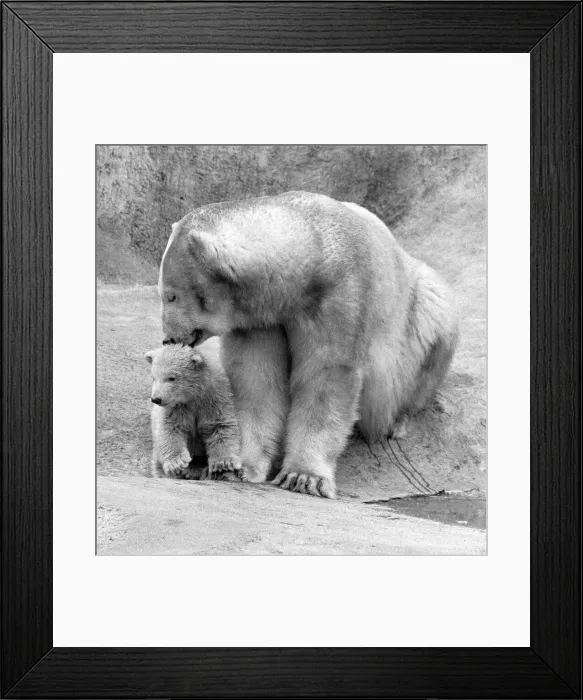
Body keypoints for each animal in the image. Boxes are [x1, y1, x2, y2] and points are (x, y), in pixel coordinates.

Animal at [145, 339, 242, 480]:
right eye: (153, 377)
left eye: (171, 377)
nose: (156, 399)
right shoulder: (177, 406)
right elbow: (170, 427)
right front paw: (176, 463)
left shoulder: (216, 397)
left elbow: (220, 425)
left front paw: (223, 463)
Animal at [157, 191, 458, 498]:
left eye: (171, 295)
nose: (169, 338)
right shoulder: (260, 318)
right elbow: (256, 381)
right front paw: (238, 466)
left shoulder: (338, 296)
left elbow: (326, 375)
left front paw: (303, 476)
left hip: (418, 308)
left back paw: (397, 421)